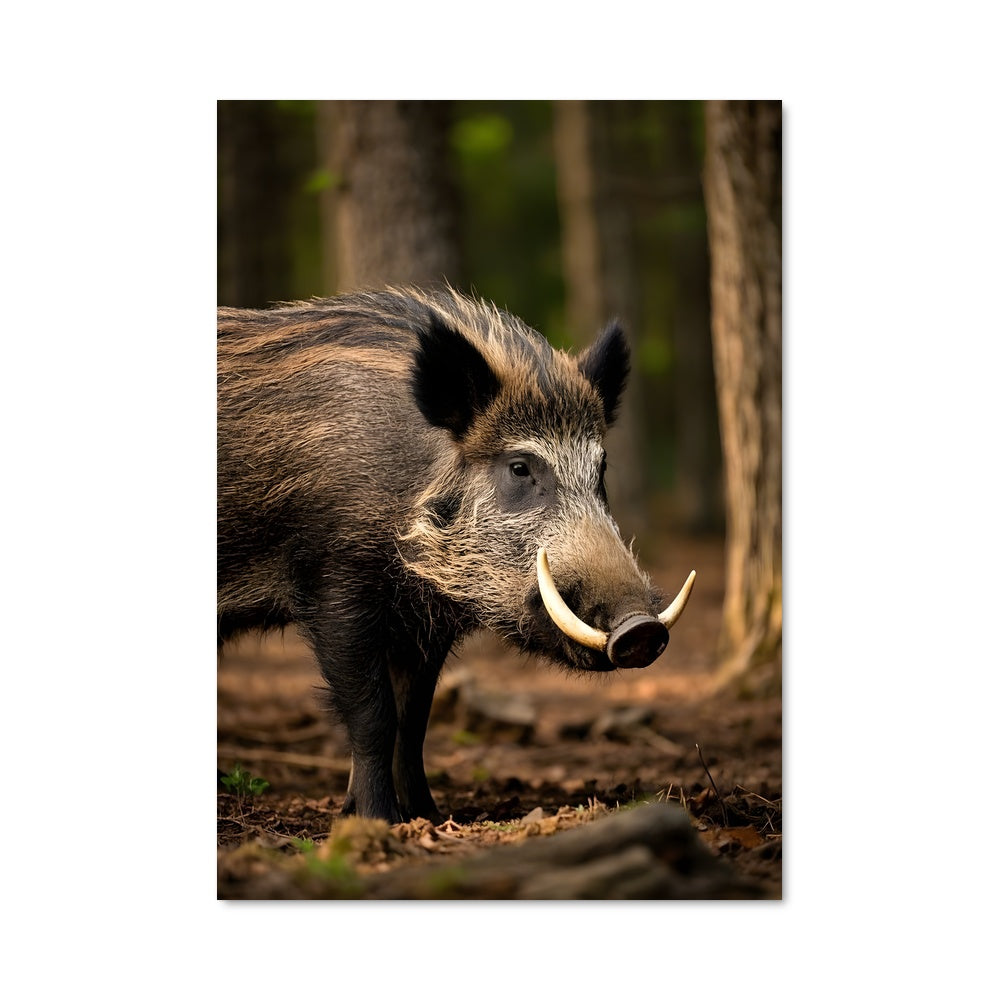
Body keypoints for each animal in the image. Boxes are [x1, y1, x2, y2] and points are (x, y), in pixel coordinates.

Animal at [217, 286, 695, 823]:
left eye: (601, 468)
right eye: (519, 467)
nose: (641, 629)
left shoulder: (423, 626)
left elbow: (414, 719)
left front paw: (426, 815)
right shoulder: (334, 587)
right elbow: (374, 716)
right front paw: (378, 820)